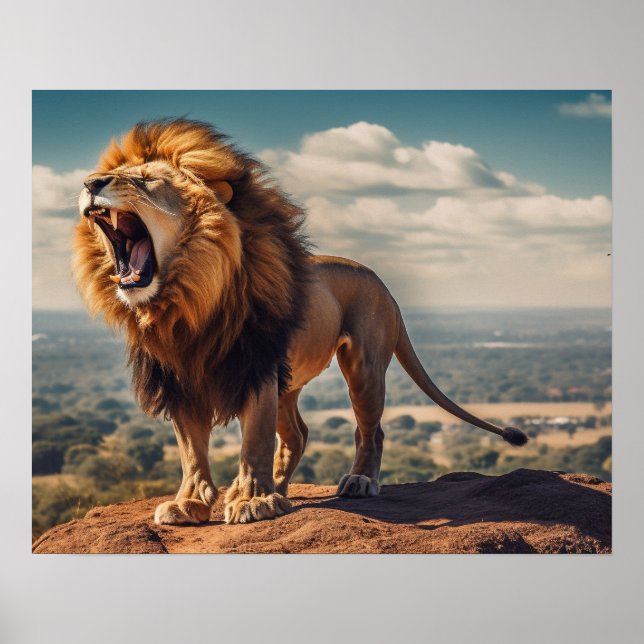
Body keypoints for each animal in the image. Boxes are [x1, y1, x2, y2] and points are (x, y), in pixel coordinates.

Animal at [73, 118, 527, 525]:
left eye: (147, 180)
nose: (91, 183)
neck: (188, 301)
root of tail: (383, 283)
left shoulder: (257, 366)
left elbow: (254, 440)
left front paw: (252, 502)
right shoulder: (178, 380)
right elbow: (191, 452)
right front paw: (191, 503)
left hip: (362, 366)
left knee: (370, 430)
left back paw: (356, 481)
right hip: (288, 383)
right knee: (298, 433)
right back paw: (279, 488)